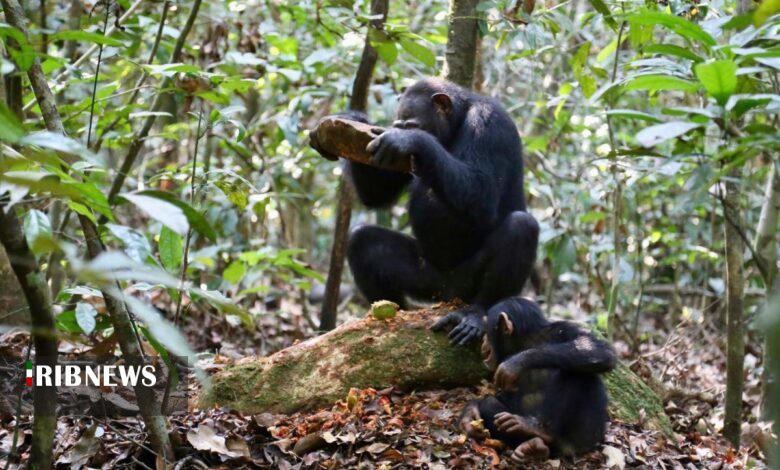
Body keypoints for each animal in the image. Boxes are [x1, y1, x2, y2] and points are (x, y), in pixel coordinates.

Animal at [310, 78, 536, 346]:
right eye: (398, 124)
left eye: (411, 125)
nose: (401, 131)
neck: (457, 122)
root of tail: (450, 296)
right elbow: (377, 194)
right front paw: (352, 119)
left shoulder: (489, 124)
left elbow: (483, 192)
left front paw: (412, 140)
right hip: (430, 283)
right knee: (362, 240)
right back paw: (392, 314)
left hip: (467, 284)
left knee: (521, 227)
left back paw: (475, 315)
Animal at [458, 298, 616, 462]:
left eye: (488, 331)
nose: (483, 341)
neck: (528, 342)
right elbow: (501, 397)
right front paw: (469, 416)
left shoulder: (566, 328)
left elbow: (597, 348)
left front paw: (516, 362)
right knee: (489, 404)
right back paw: (534, 446)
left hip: (583, 439)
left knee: (578, 373)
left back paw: (540, 431)